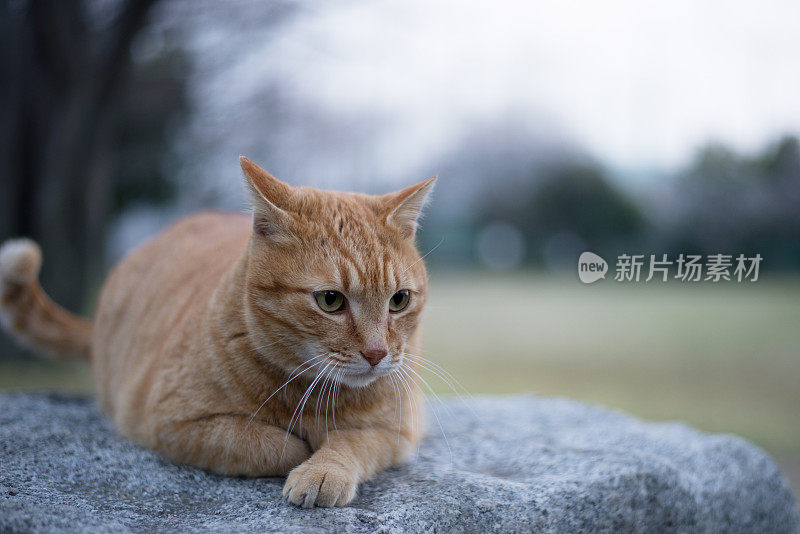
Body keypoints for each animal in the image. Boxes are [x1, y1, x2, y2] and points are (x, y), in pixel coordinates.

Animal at [0, 157, 434, 508]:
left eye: (398, 300)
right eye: (330, 300)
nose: (377, 354)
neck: (312, 393)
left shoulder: (399, 429)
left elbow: (352, 441)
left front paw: (324, 468)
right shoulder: (173, 423)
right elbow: (275, 445)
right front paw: (304, 449)